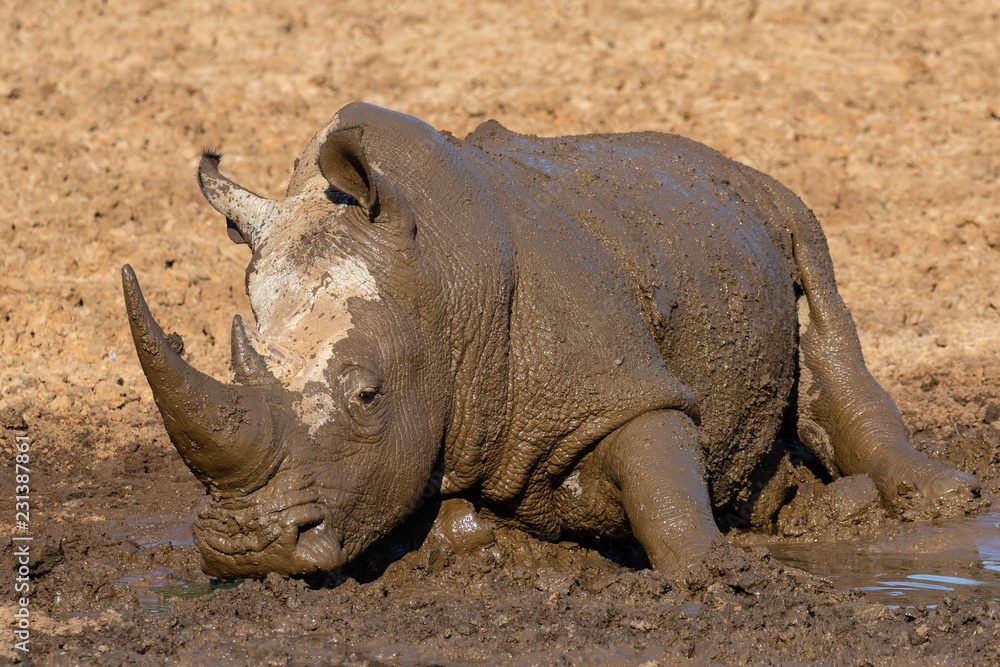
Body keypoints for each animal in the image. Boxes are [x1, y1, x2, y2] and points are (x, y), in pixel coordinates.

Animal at [122, 102, 983, 579]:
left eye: (367, 395)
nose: (247, 546)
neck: (440, 282)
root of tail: (717, 158)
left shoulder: (623, 379)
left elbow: (661, 464)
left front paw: (717, 574)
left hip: (776, 201)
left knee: (826, 307)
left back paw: (937, 502)